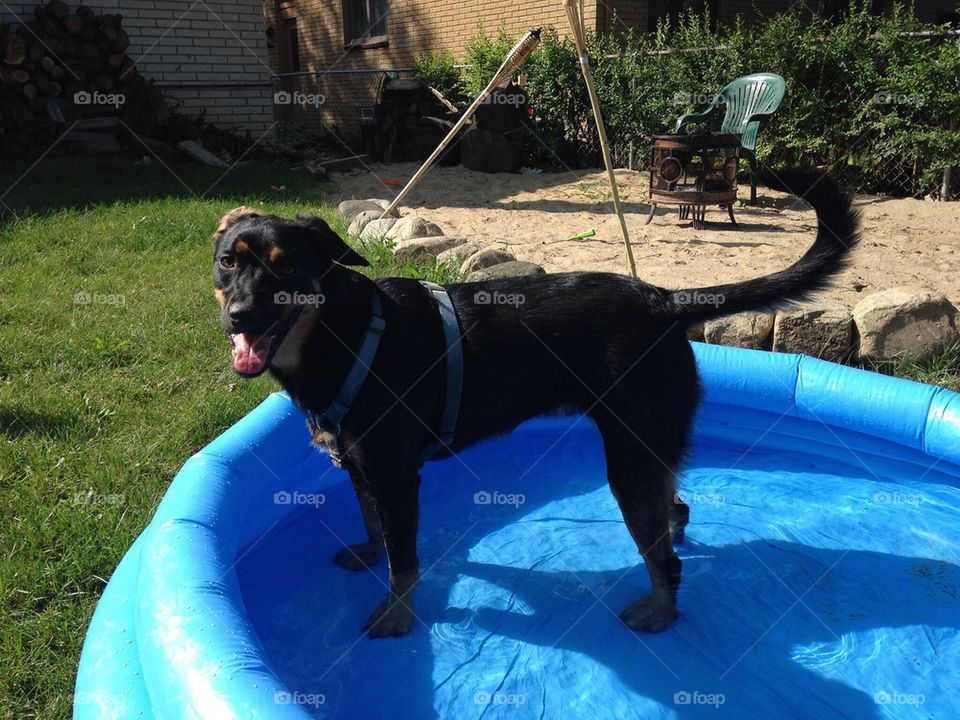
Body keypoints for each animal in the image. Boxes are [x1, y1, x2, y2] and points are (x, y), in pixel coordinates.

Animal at [214, 172, 860, 640]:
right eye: (228, 260)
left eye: (287, 267)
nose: (238, 317)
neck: (341, 332)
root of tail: (666, 300)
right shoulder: (361, 467)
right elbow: (375, 528)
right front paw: (370, 556)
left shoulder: (397, 477)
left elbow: (406, 560)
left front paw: (397, 614)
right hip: (649, 449)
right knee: (675, 508)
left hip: (630, 457)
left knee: (664, 558)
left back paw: (659, 610)